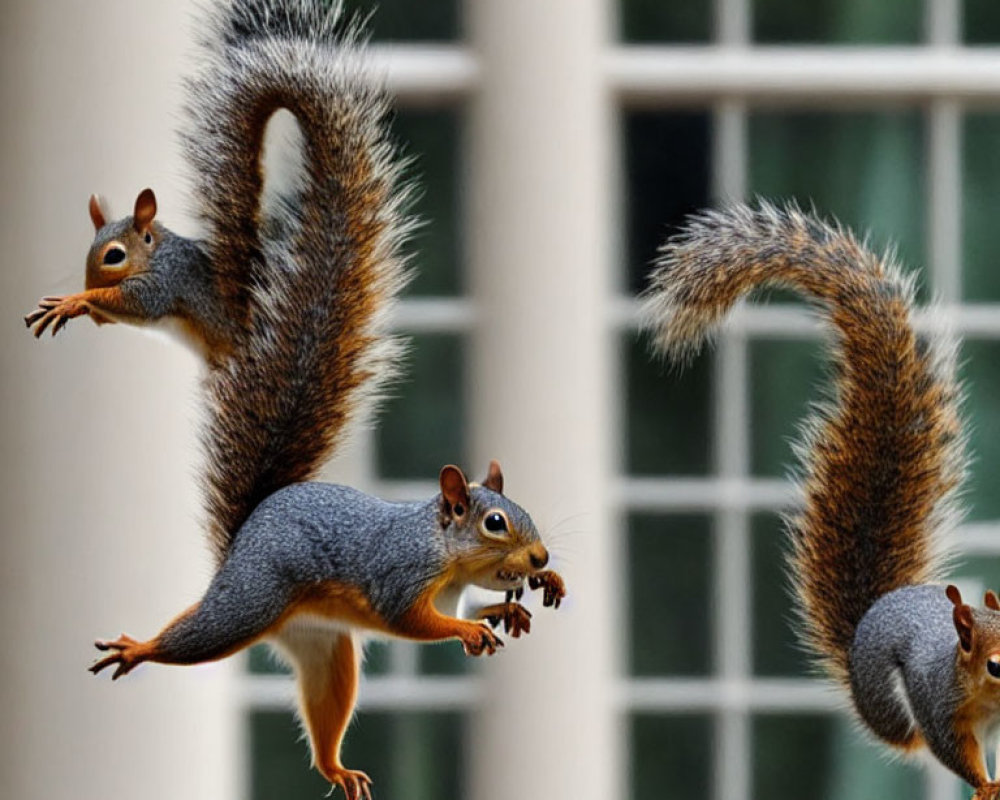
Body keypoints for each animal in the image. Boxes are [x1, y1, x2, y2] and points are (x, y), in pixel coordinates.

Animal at [29, 3, 564, 796]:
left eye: (522, 513)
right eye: (495, 522)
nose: (540, 556)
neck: (445, 553)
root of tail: (246, 531)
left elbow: (475, 601)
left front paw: (520, 601)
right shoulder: (398, 579)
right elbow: (419, 621)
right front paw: (473, 626)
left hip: (326, 651)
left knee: (324, 711)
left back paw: (337, 767)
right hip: (248, 600)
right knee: (193, 637)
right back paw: (140, 647)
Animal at [640, 205, 1000, 800]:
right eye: (995, 665)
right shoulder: (941, 702)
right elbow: (955, 747)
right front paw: (983, 780)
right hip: (897, 707)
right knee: (918, 743)